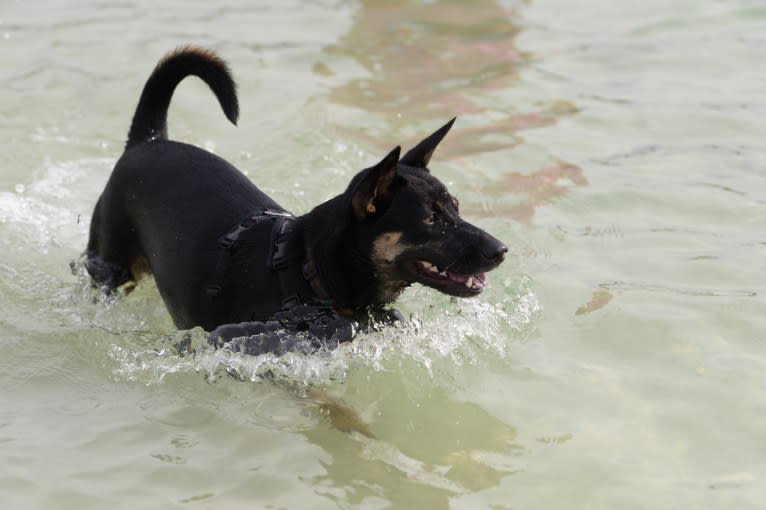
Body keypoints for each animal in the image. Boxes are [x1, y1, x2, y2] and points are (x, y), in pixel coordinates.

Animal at [82, 45, 510, 352]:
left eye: (456, 208)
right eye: (431, 219)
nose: (502, 250)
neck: (312, 268)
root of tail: (150, 139)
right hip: (111, 261)